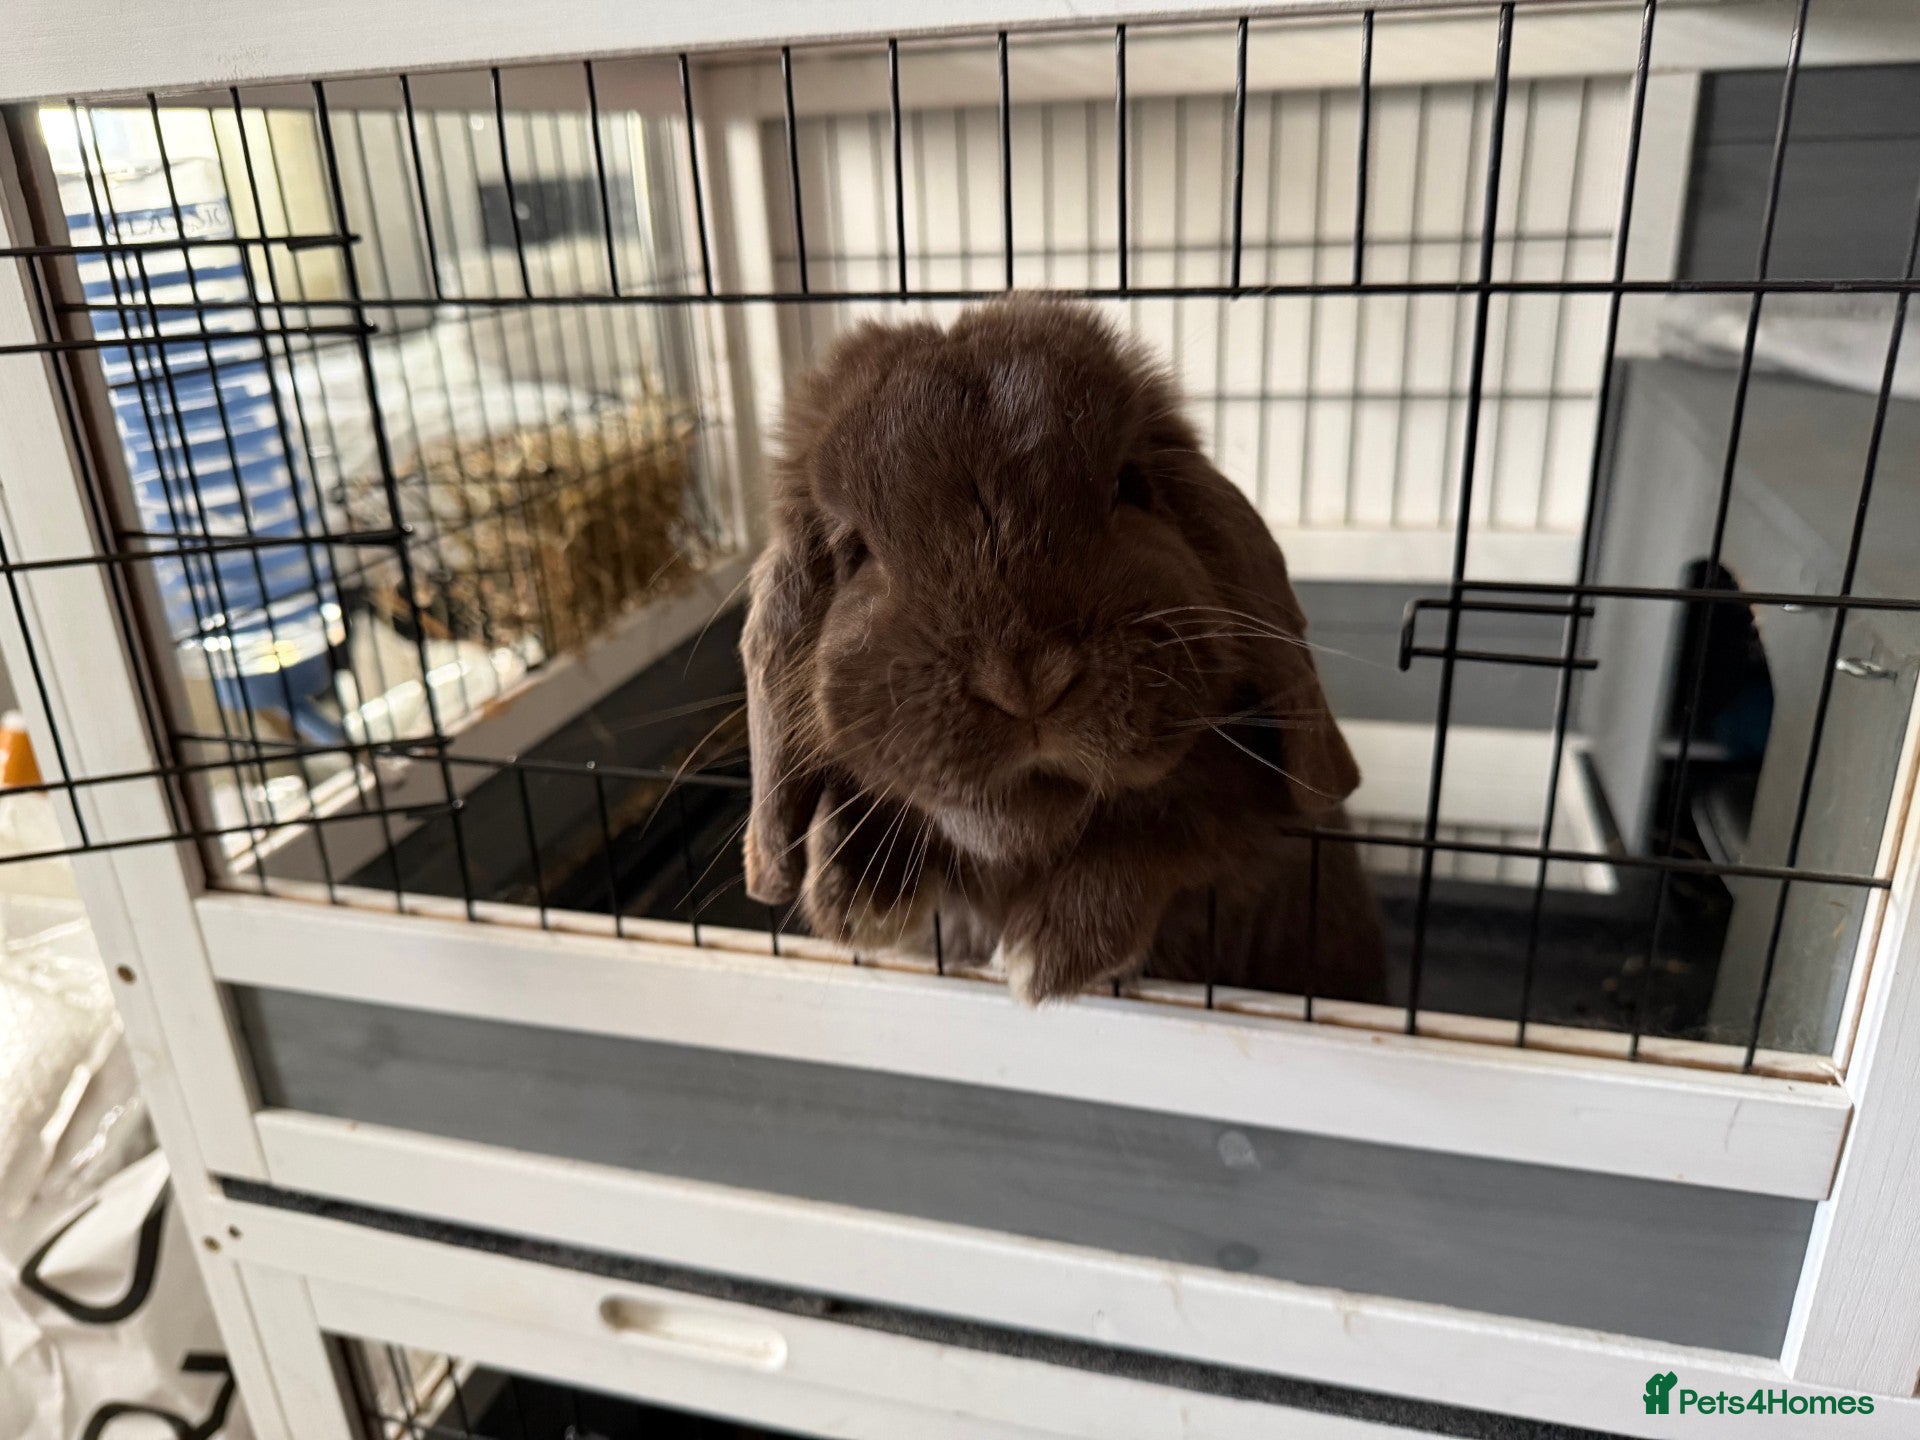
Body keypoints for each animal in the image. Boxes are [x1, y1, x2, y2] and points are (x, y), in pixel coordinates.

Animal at [740, 296, 1385, 1006]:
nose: (1024, 681)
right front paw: (850, 893)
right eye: (853, 550)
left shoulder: (1250, 828)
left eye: (1130, 488)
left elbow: (1178, 821)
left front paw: (1045, 951)